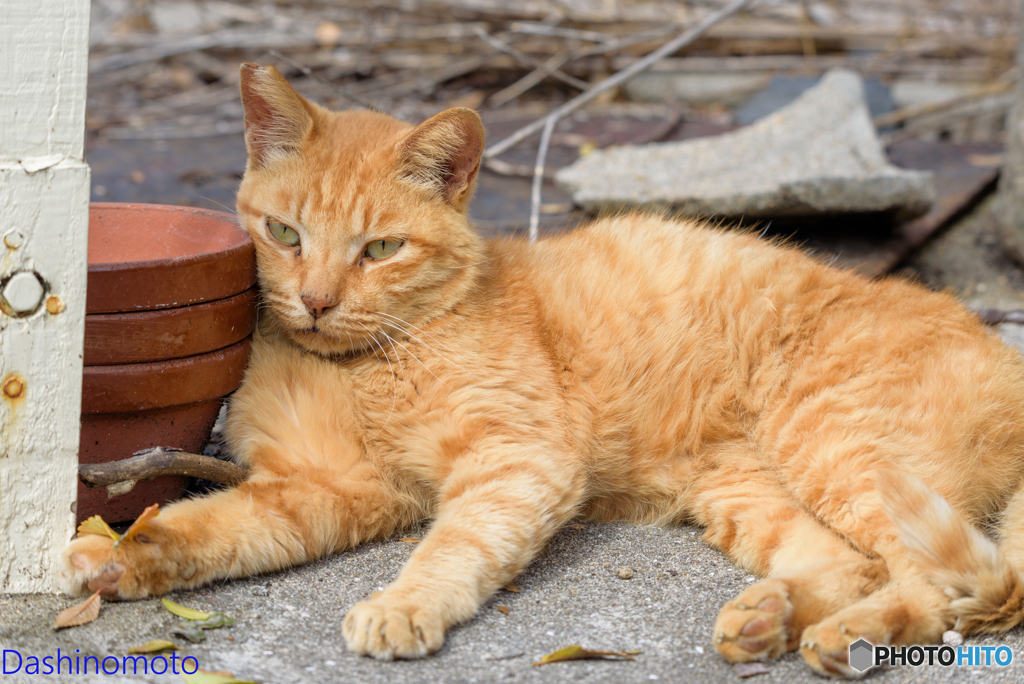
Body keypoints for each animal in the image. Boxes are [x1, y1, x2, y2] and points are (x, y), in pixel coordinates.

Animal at [59, 63, 1024, 671]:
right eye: (285, 234)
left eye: (381, 249)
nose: (319, 300)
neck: (358, 365)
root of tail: (1001, 348)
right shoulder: (321, 490)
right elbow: (207, 529)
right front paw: (109, 558)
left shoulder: (516, 460)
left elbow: (453, 547)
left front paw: (403, 606)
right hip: (752, 491)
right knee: (853, 566)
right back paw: (766, 619)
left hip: (839, 449)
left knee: (946, 586)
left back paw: (839, 639)